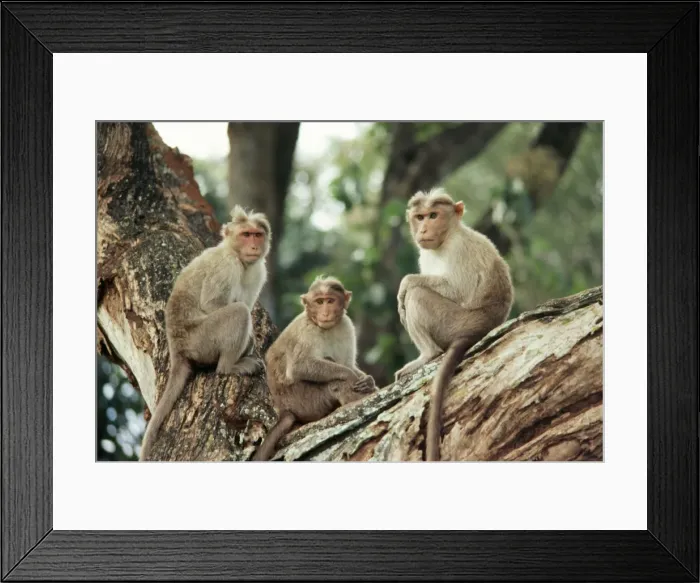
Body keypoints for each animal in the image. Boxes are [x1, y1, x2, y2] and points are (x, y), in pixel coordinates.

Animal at [139, 205, 271, 461]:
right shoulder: (226, 266)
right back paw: (230, 367)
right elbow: (213, 303)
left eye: (257, 235)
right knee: (238, 313)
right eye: (246, 235)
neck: (239, 259)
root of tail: (178, 348)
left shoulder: (259, 270)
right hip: (202, 340)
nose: (254, 247)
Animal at [252, 276, 376, 461]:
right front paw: (350, 375)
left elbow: (347, 362)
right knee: (334, 382)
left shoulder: (346, 325)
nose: (325, 313)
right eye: (319, 302)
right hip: (304, 401)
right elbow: (300, 367)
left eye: (330, 301)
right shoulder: (306, 330)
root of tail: (284, 410)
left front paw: (368, 380)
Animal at [396, 187, 514, 461]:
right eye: (420, 217)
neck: (447, 237)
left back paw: (428, 354)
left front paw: (406, 283)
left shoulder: (459, 249)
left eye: (433, 215)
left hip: (454, 322)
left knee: (417, 296)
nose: (423, 229)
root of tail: (482, 327)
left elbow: (457, 289)